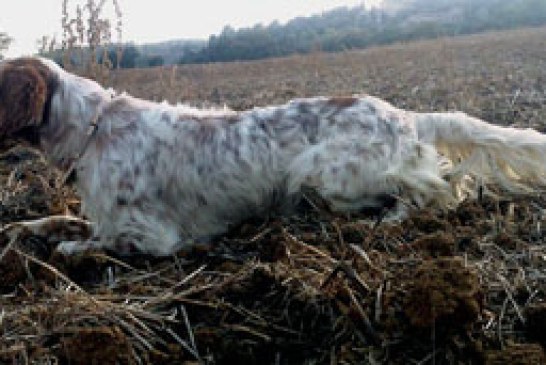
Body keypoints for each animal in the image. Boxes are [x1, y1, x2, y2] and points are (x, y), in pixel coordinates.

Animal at [1, 57, 544, 256]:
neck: (93, 128)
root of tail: (408, 115)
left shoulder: (153, 236)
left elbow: (90, 242)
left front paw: (64, 249)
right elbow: (59, 221)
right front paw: (23, 228)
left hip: (320, 175)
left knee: (433, 191)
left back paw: (382, 222)